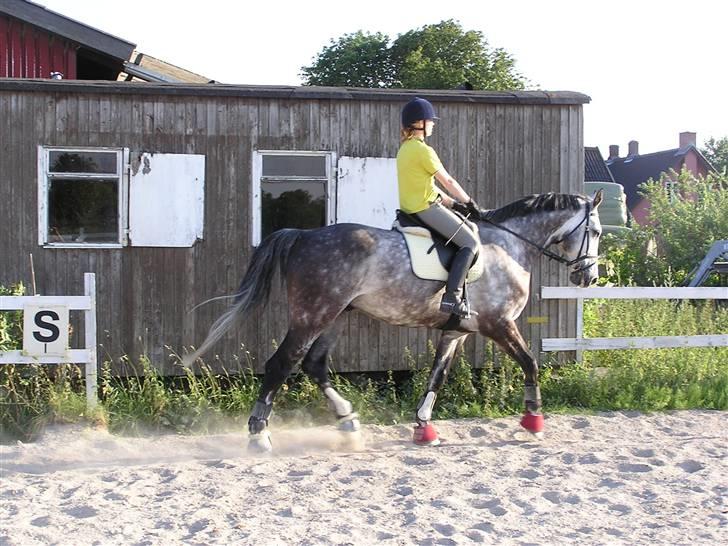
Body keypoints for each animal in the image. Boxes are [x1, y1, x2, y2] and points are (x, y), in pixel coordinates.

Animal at [185, 191, 604, 450]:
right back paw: (258, 437)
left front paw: (424, 428)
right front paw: (533, 420)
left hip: (334, 316)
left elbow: (437, 376)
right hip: (313, 315)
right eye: (597, 231)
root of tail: (303, 234)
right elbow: (531, 363)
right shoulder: (499, 324)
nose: (588, 277)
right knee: (281, 364)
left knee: (314, 365)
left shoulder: (457, 333)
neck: (509, 246)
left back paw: (348, 422)